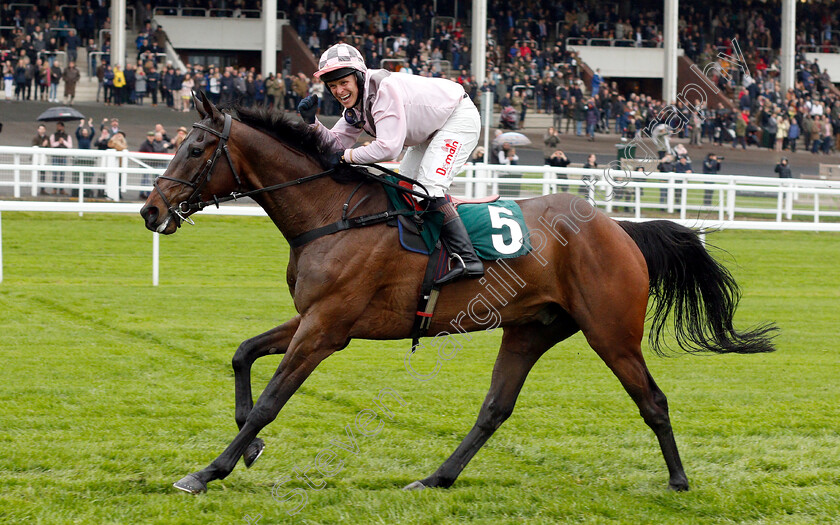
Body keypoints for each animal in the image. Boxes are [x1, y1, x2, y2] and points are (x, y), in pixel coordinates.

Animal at [141, 92, 776, 494]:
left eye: (195, 150)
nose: (150, 211)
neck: (332, 213)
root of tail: (618, 228)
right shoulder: (315, 318)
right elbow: (242, 354)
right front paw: (246, 451)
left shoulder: (327, 328)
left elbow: (271, 401)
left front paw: (208, 472)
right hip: (530, 329)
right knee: (495, 408)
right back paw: (437, 477)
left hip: (611, 333)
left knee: (654, 401)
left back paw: (679, 481)